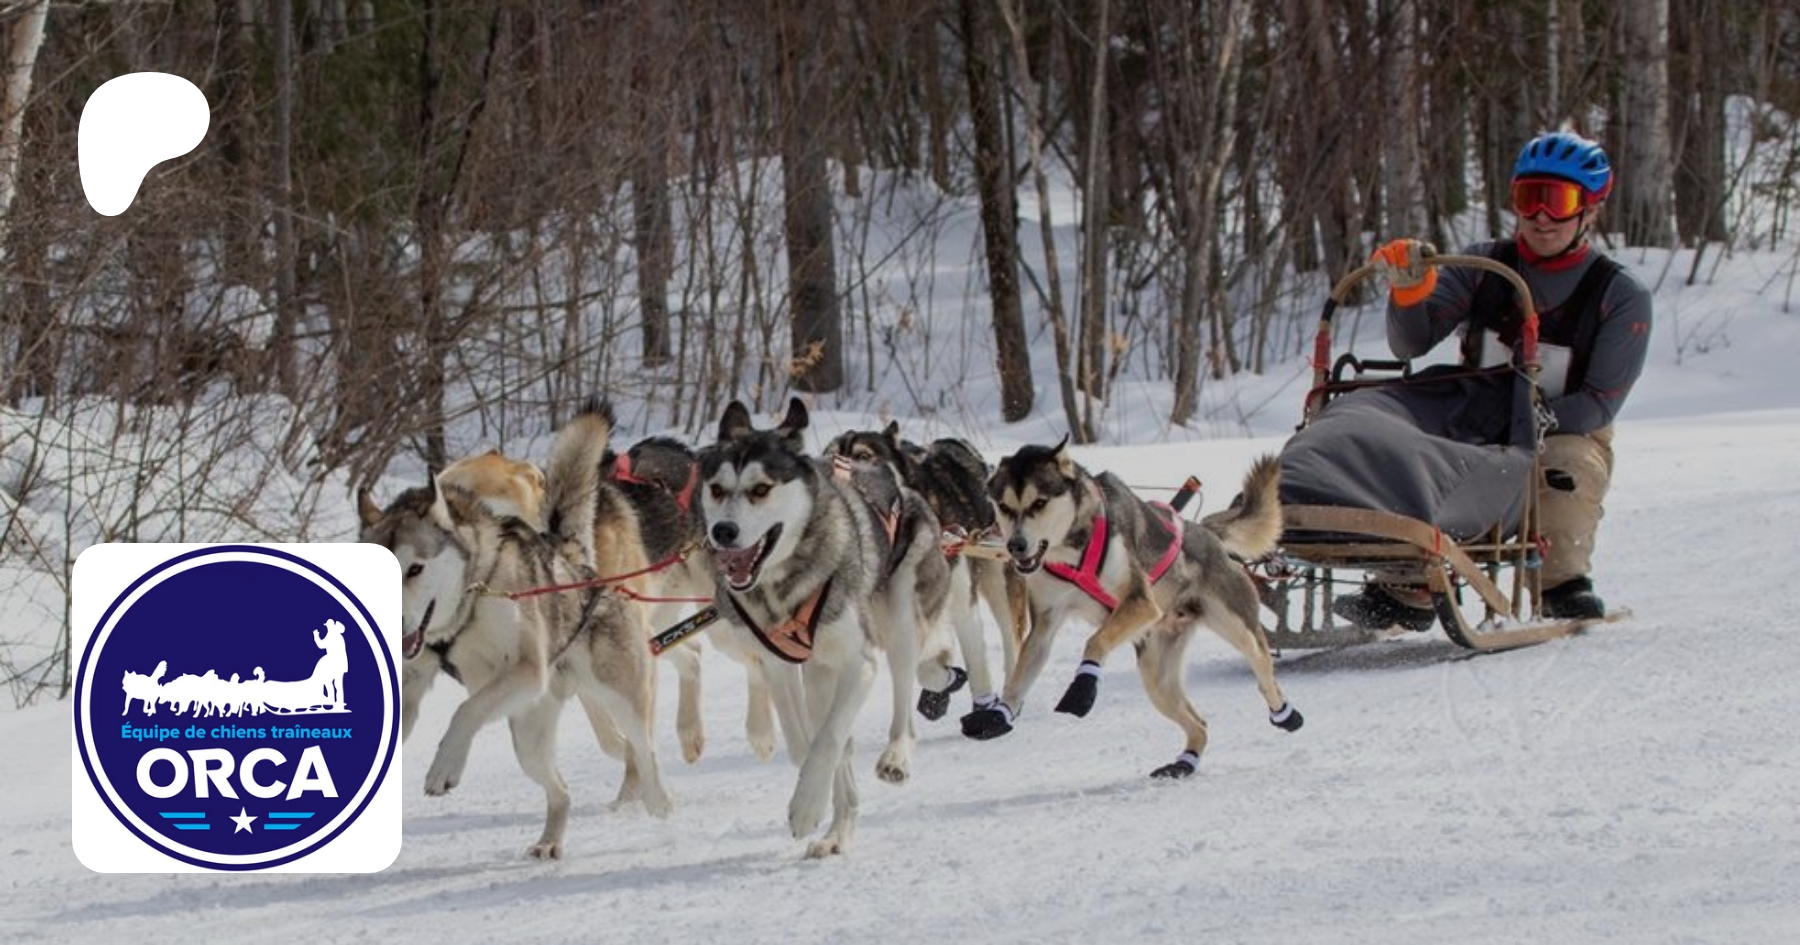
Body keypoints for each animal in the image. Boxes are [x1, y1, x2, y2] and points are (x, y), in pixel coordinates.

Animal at [357, 402, 670, 860]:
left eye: (415, 569)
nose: (392, 624)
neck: (466, 606)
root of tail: (576, 560)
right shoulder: (416, 684)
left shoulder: (526, 668)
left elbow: (464, 711)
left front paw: (443, 767)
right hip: (527, 736)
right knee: (561, 790)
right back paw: (550, 840)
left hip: (617, 696)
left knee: (644, 750)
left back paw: (657, 801)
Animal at [698, 398, 955, 858]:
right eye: (717, 489)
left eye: (760, 489)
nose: (723, 531)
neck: (784, 583)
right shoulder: (779, 668)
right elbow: (806, 743)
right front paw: (826, 805)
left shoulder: (861, 662)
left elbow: (830, 738)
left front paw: (806, 807)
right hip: (818, 675)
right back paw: (838, 831)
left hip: (901, 619)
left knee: (905, 700)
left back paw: (896, 756)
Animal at [826, 423, 1026, 717]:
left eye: (863, 456)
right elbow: (925, 663)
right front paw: (942, 685)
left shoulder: (961, 601)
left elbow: (973, 658)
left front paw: (982, 704)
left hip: (999, 581)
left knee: (1012, 638)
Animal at [964, 440, 1302, 778]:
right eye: (1005, 507)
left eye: (1039, 503)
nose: (1016, 545)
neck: (1073, 550)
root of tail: (1207, 532)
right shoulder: (1045, 624)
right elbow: (1019, 677)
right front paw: (998, 714)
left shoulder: (1140, 603)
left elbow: (1095, 641)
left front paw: (1082, 688)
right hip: (1157, 679)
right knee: (1200, 725)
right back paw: (1183, 763)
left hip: (1236, 627)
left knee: (1263, 670)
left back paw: (1284, 712)